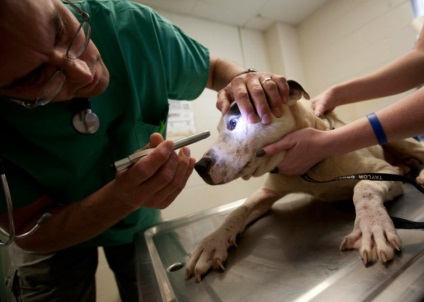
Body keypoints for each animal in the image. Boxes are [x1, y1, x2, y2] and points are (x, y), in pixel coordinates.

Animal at [185, 81, 424, 284]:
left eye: (233, 123)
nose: (199, 166)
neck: (307, 170)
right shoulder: (267, 193)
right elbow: (238, 211)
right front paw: (212, 242)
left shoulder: (384, 171)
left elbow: (363, 186)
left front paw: (372, 227)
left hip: (395, 138)